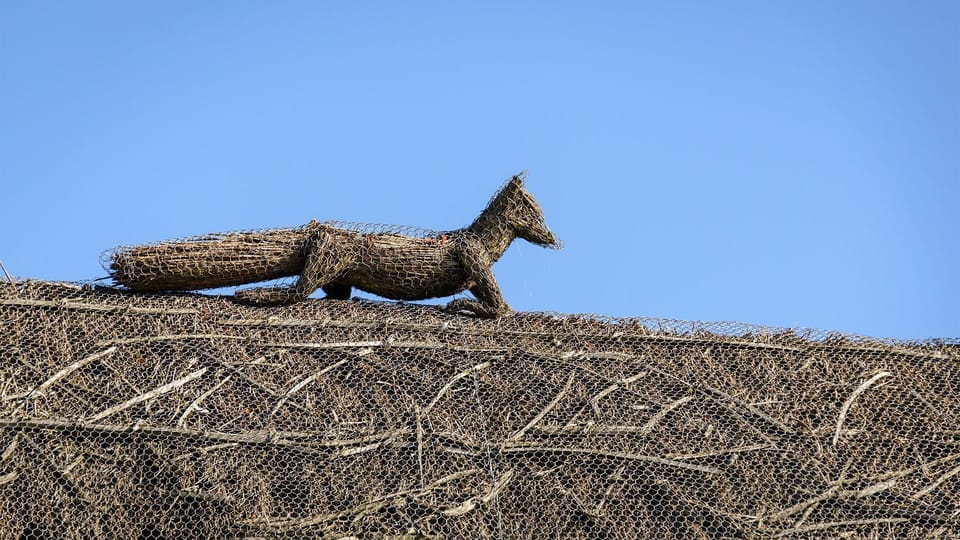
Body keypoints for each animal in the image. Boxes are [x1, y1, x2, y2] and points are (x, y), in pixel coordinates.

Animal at [106, 173, 560, 318]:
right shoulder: (471, 255)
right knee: (297, 290)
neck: (480, 237)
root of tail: (315, 229)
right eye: (535, 212)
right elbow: (501, 310)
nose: (555, 239)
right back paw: (257, 294)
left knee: (330, 292)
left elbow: (501, 308)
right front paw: (465, 304)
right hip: (332, 249)